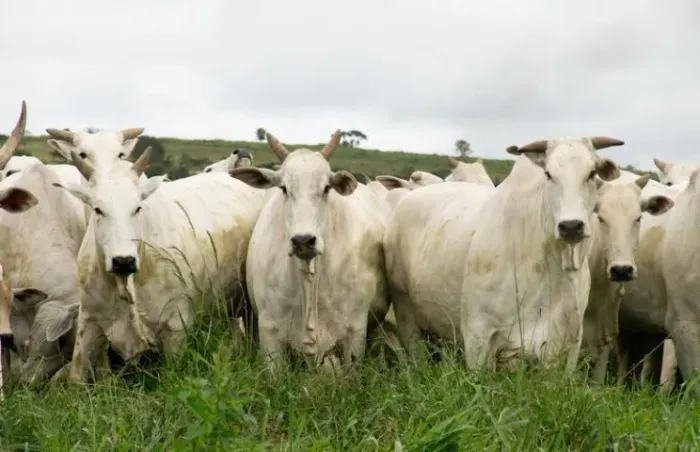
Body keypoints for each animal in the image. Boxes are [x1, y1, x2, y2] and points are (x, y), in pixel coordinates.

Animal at [53, 147, 271, 382]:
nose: (123, 261)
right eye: (97, 209)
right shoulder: (89, 322)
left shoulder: (175, 329)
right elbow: (76, 377)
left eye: (137, 208)